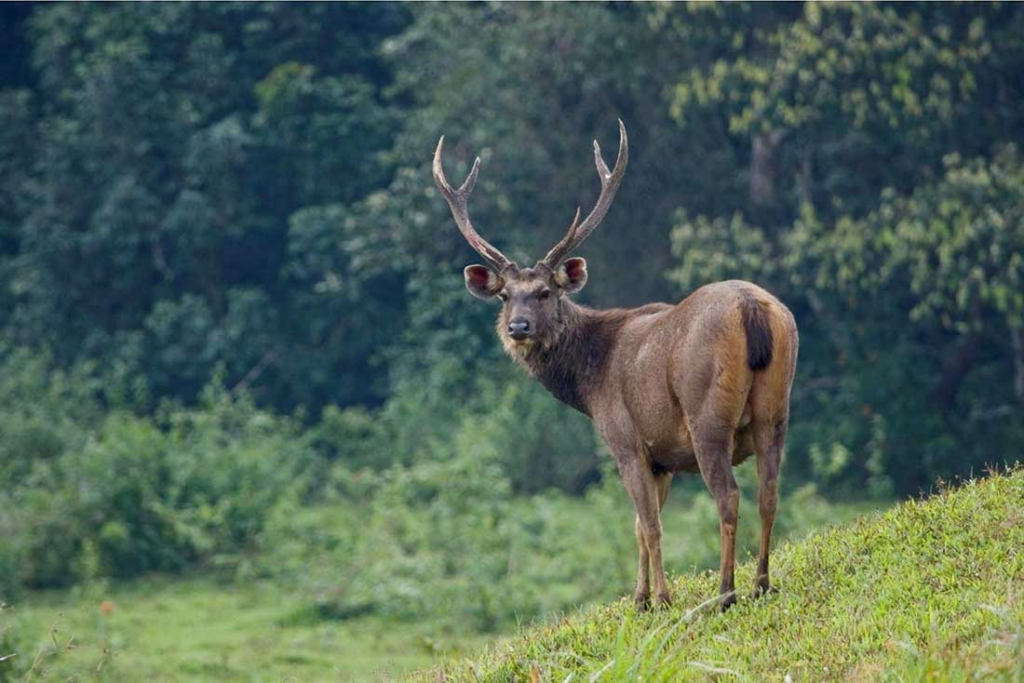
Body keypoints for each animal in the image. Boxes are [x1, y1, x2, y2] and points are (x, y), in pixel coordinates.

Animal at [432, 120, 798, 610]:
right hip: (777, 408)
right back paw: (761, 582)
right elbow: (640, 526)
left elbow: (650, 524)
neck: (590, 383)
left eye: (545, 292)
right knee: (769, 492)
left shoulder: (625, 440)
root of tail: (752, 309)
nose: (518, 327)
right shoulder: (663, 458)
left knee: (729, 497)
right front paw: (640, 597)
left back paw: (725, 592)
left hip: (706, 415)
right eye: (505, 295)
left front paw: (660, 597)